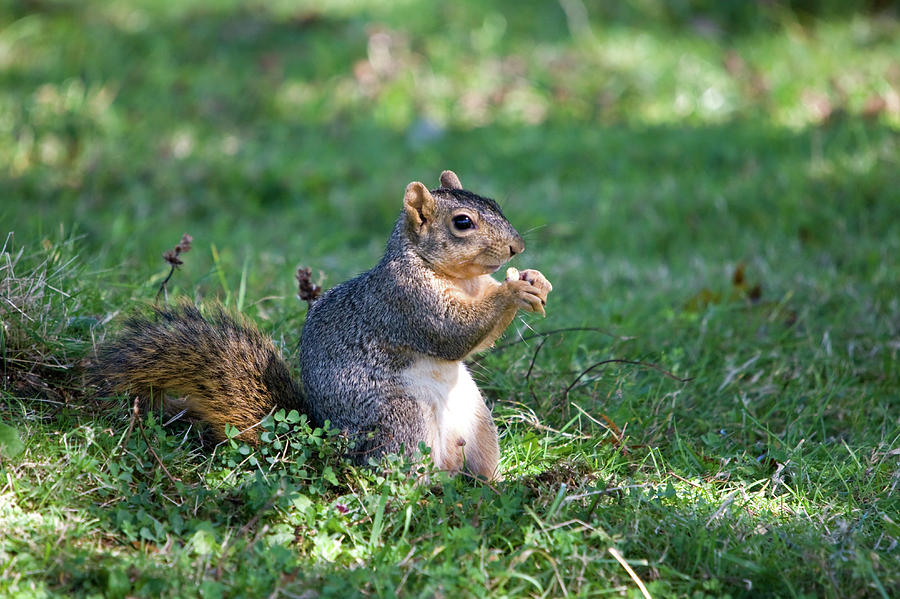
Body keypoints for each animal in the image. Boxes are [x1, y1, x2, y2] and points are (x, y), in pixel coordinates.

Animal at [95, 171, 552, 480]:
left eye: (494, 203)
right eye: (462, 222)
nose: (517, 247)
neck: (459, 278)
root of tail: (330, 446)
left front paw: (535, 280)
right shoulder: (405, 302)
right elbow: (452, 333)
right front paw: (513, 291)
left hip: (478, 422)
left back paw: (494, 486)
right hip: (401, 420)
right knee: (397, 473)